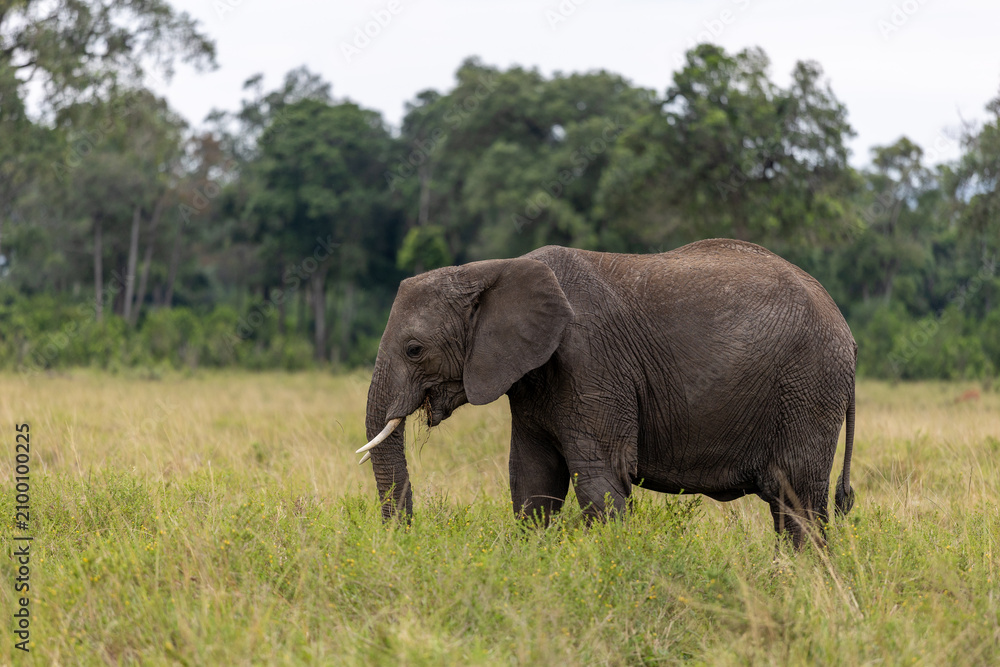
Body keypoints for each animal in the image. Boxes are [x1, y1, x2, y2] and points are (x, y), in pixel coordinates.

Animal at [359, 239, 856, 548]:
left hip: (808, 388)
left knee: (797, 500)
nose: (406, 538)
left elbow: (599, 478)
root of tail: (846, 329)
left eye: (414, 350)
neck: (494, 269)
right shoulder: (534, 377)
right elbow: (533, 481)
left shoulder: (590, 362)